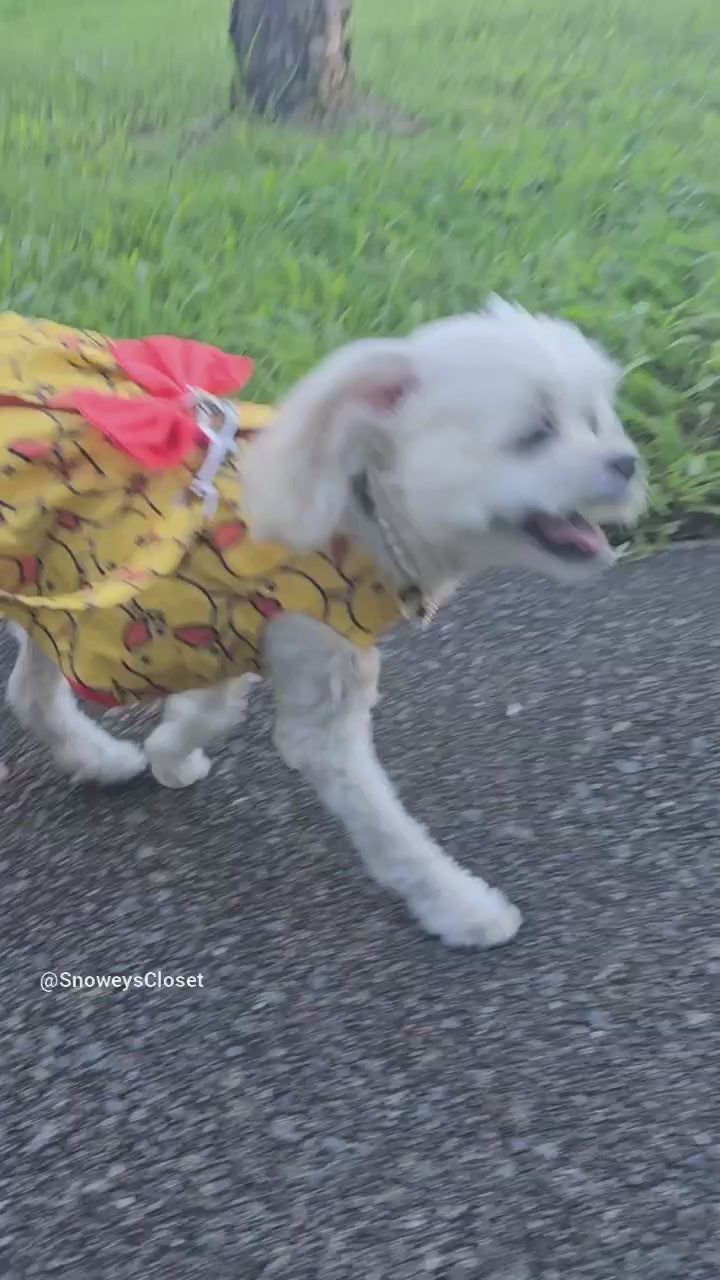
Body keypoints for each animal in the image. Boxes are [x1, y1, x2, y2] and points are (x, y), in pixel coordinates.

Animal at [7, 296, 645, 942]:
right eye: (535, 433)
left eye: (593, 419)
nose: (628, 462)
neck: (354, 511)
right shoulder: (313, 680)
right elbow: (384, 826)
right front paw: (459, 906)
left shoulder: (216, 624)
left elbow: (212, 707)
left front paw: (171, 751)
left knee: (29, 685)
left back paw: (94, 757)